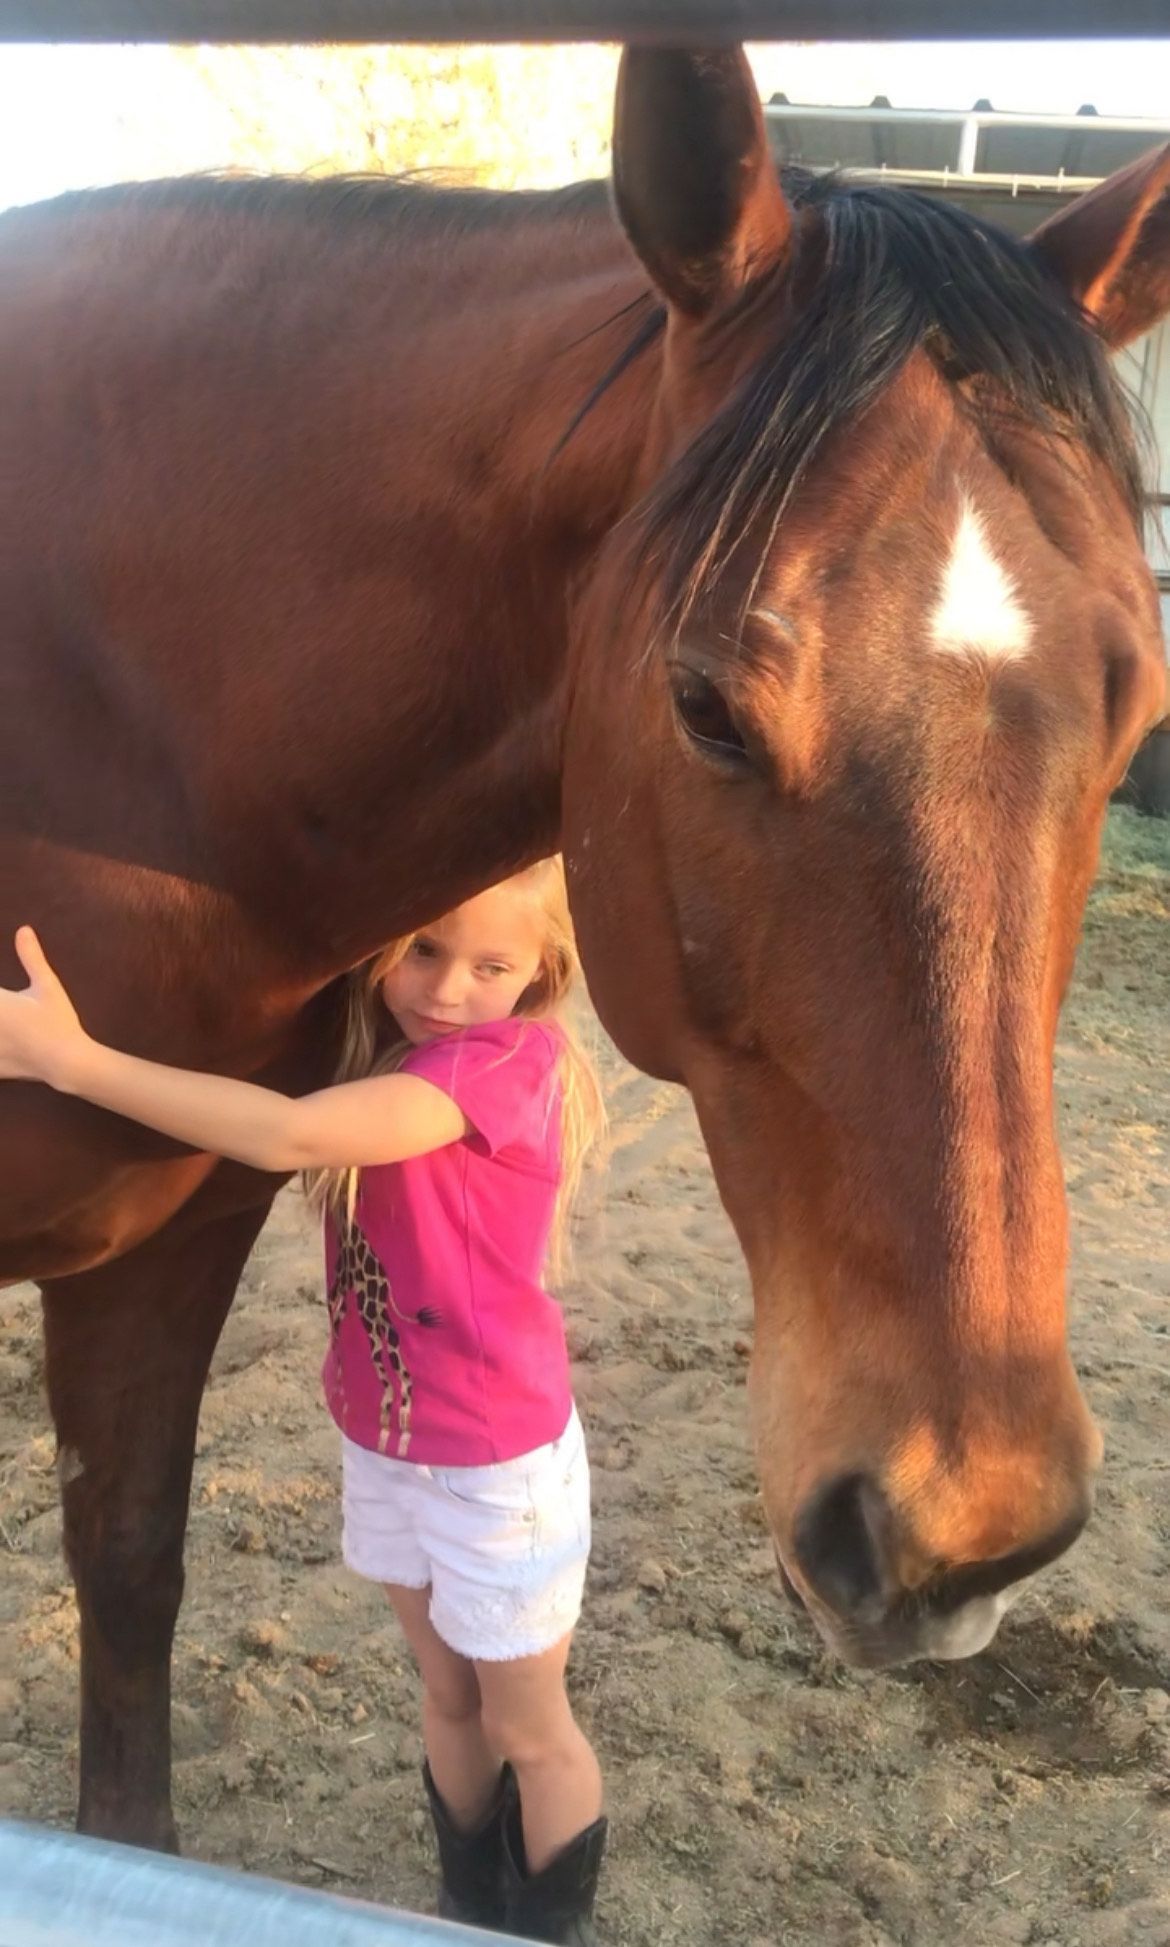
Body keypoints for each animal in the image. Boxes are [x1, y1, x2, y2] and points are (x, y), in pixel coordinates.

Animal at [1, 46, 1167, 1852]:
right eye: (705, 703)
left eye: (1135, 708)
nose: (968, 1518)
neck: (97, 716)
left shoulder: (169, 1238)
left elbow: (127, 1583)